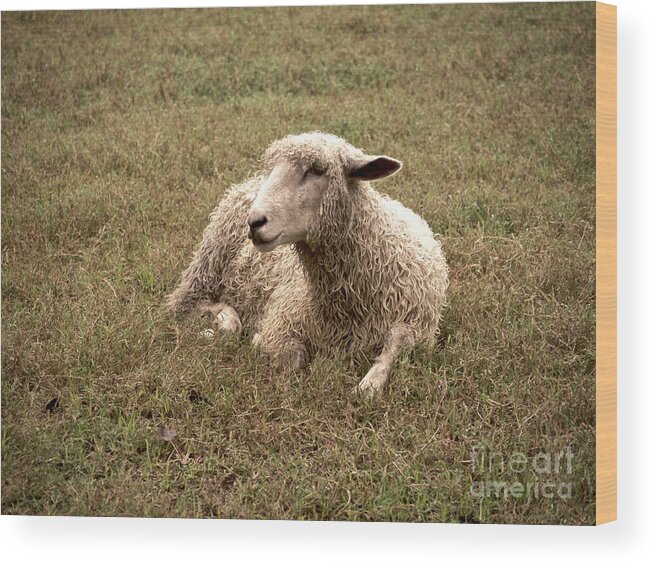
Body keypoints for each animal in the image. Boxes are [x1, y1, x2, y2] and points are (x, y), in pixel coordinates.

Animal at [167, 132, 448, 396]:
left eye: (316, 170)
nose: (255, 222)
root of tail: (250, 181)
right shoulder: (282, 318)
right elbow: (290, 356)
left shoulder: (420, 325)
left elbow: (401, 341)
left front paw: (370, 385)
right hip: (206, 266)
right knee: (181, 307)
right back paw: (221, 325)